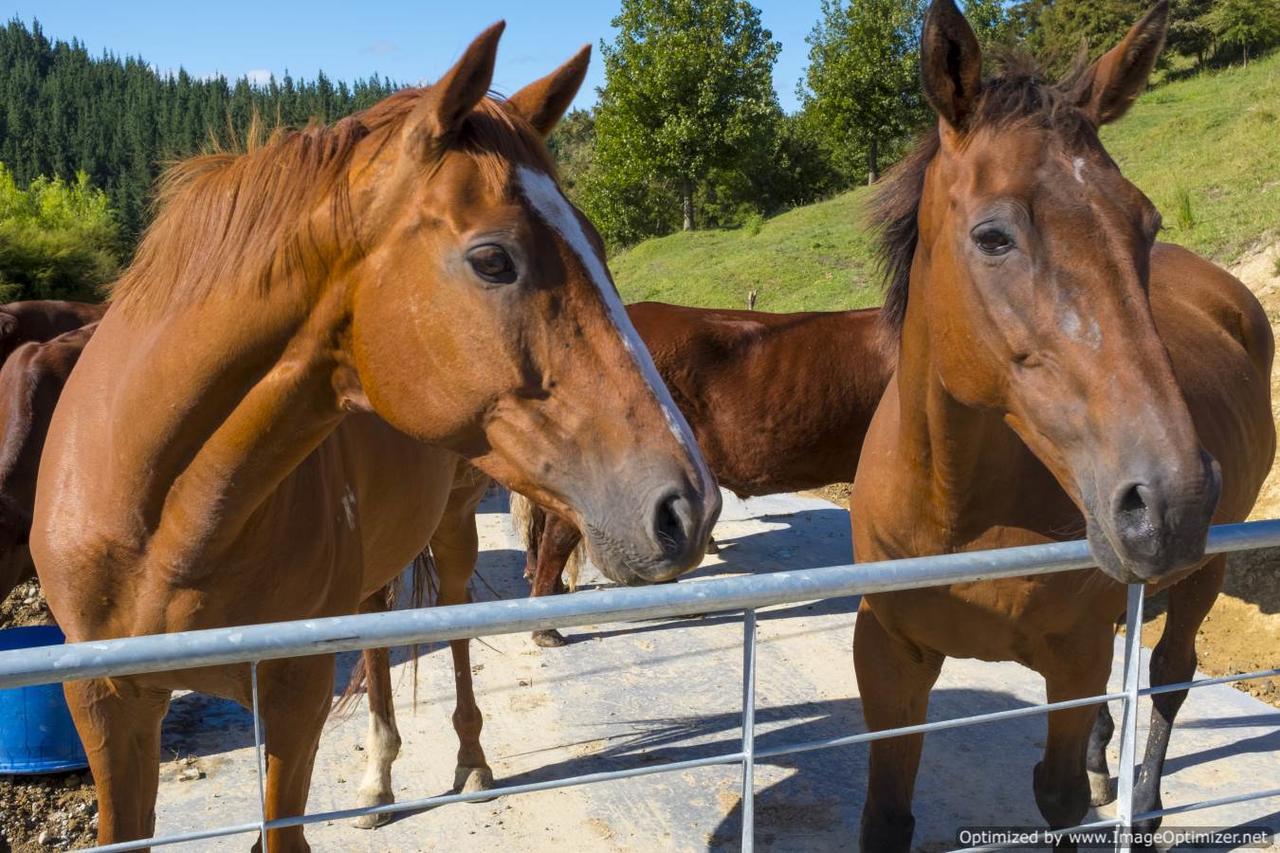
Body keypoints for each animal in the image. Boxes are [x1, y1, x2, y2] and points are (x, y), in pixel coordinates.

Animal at [849, 3, 1269, 845]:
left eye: (1146, 222)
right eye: (993, 235)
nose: (1171, 498)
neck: (956, 516)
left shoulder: (1071, 660)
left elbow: (1060, 795)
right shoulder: (887, 655)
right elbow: (885, 815)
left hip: (1205, 568)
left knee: (1168, 676)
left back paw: (1145, 802)